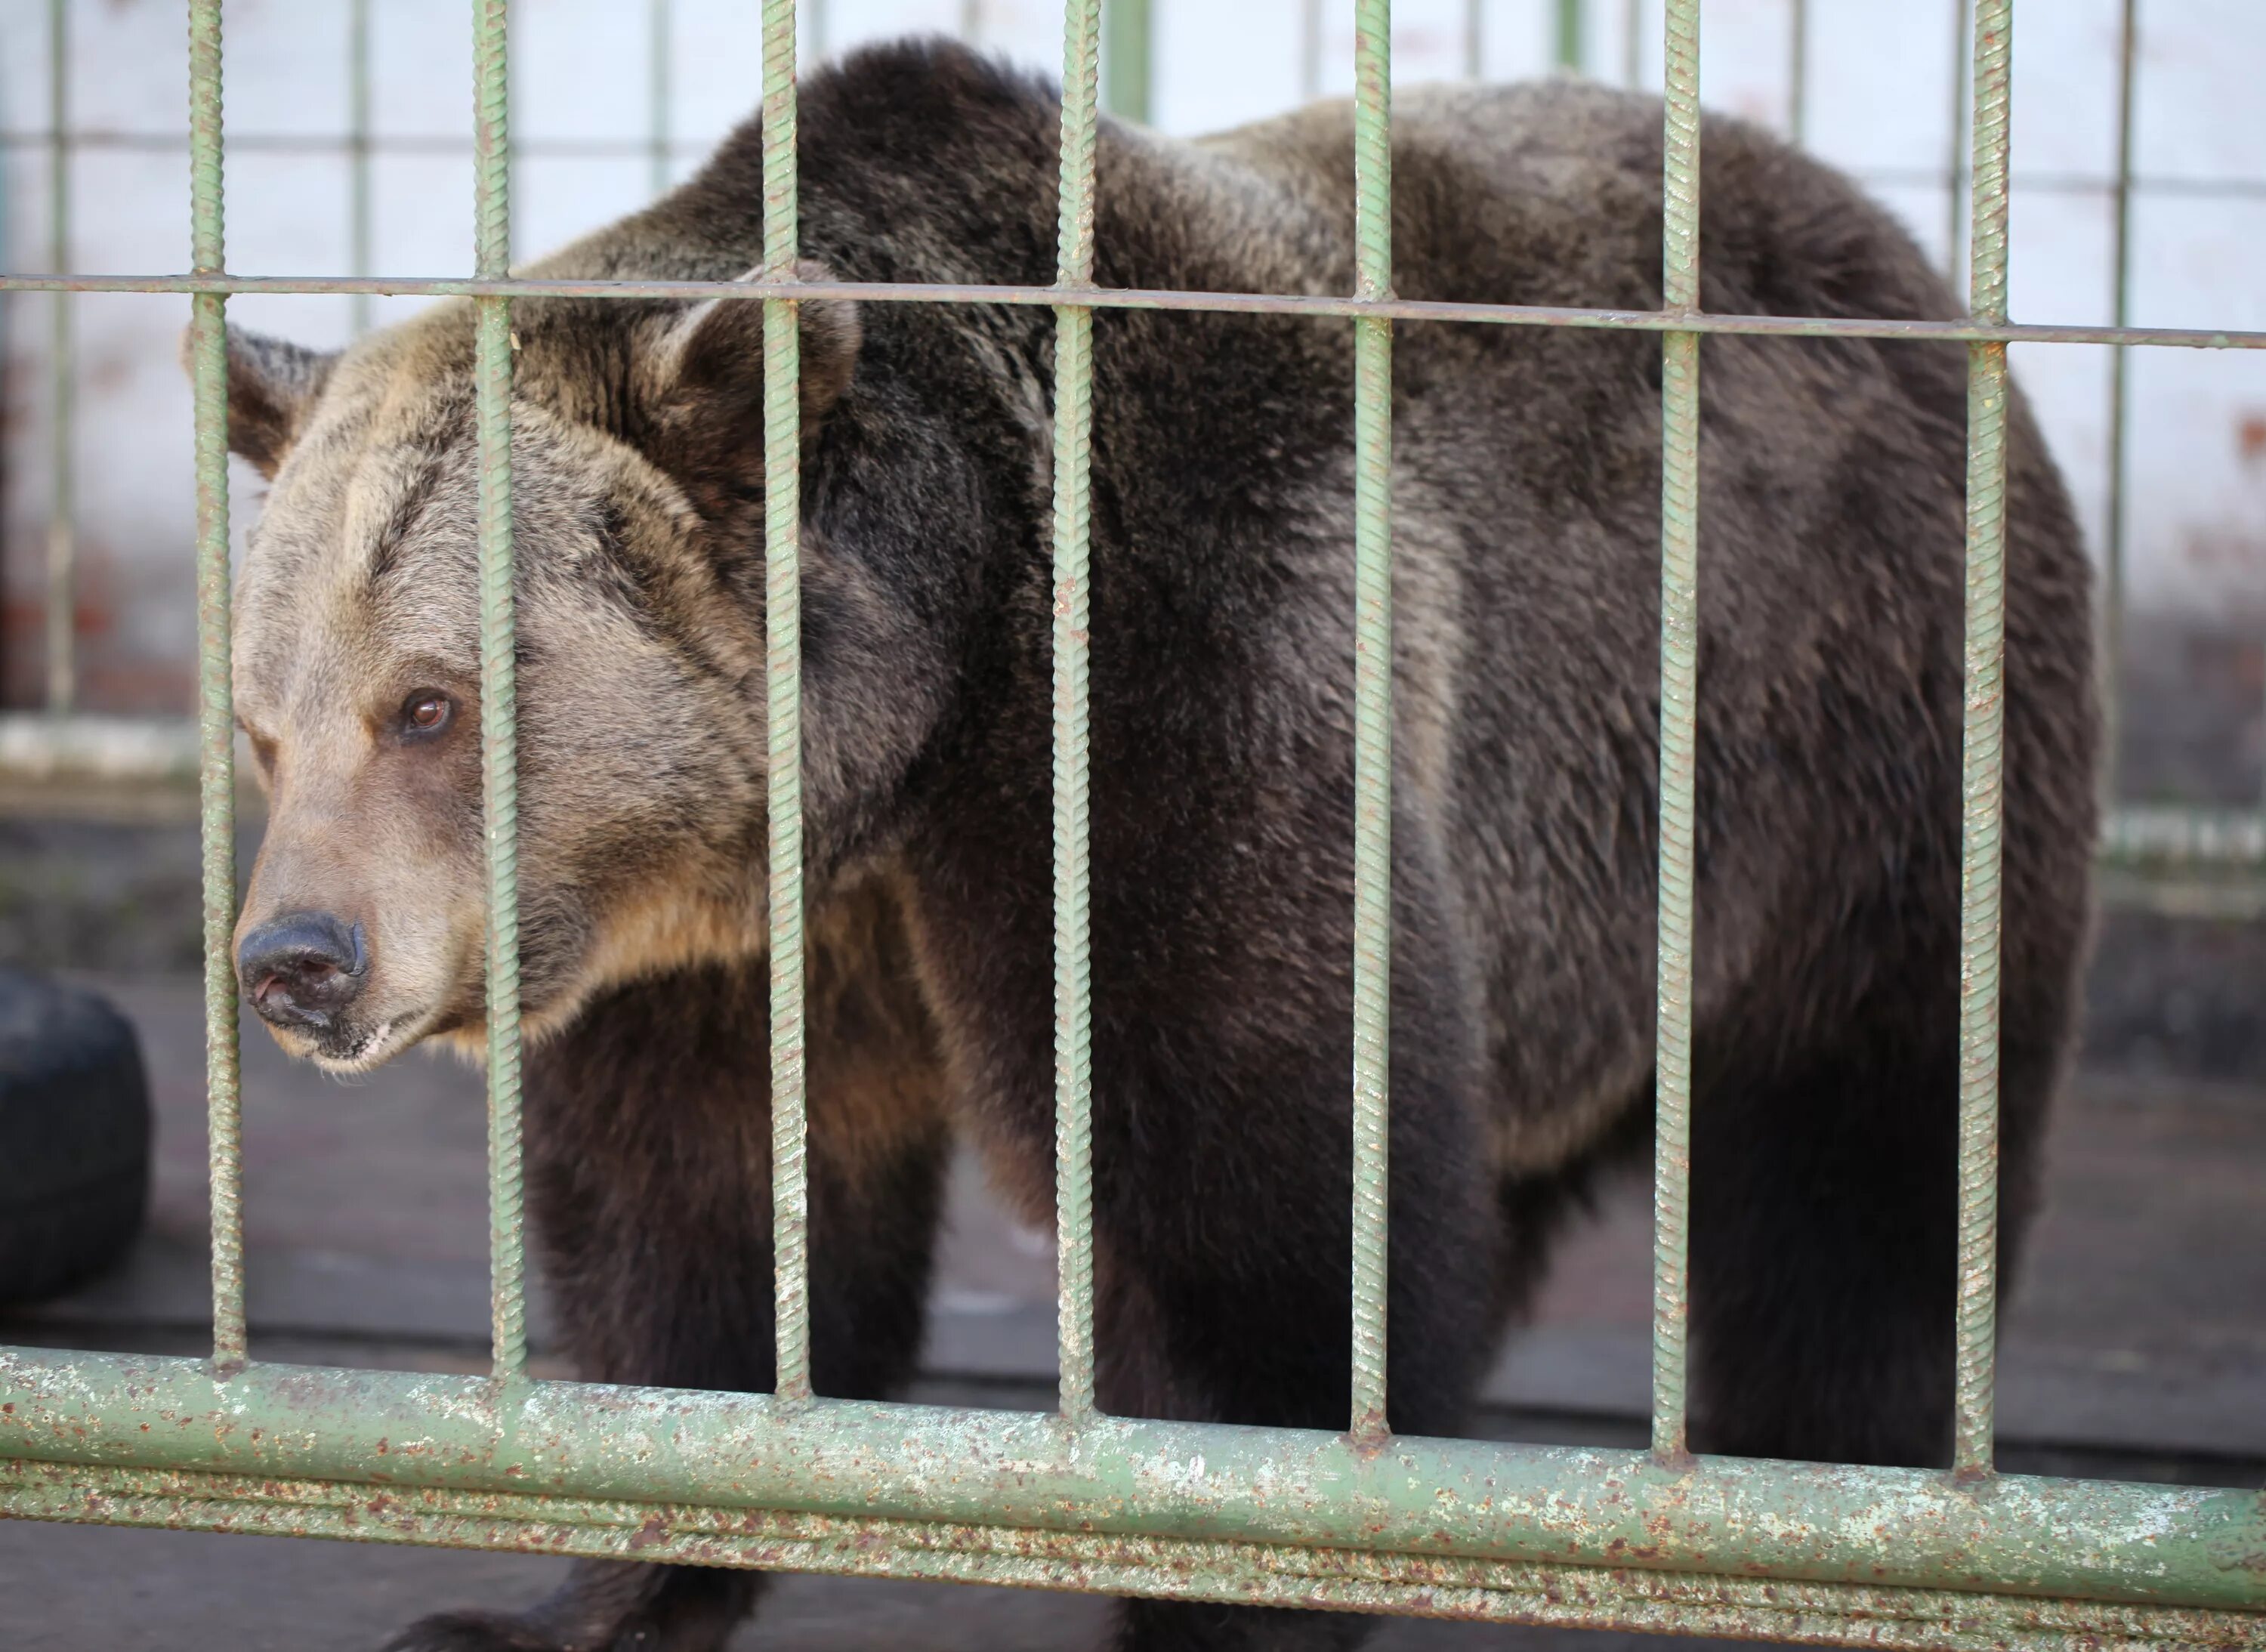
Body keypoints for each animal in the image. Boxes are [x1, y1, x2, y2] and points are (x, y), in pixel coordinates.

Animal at [208, 35, 2085, 1650]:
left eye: (428, 702)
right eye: (264, 724)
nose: (295, 960)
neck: (908, 727)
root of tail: (1900, 251)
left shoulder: (1181, 680)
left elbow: (1256, 1195)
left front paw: (1227, 1585)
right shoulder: (718, 934)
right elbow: (702, 1218)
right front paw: (554, 1597)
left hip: (1851, 731)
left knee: (1854, 1180)